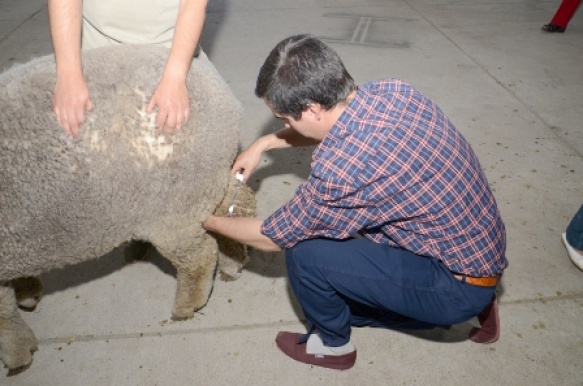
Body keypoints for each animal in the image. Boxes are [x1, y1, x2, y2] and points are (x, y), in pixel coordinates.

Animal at [0, 46, 256, 374]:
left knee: (199, 257)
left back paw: (186, 305)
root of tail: (219, 91)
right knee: (236, 209)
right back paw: (232, 264)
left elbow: (4, 317)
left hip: (173, 208)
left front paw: (18, 354)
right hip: (204, 186)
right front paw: (29, 293)